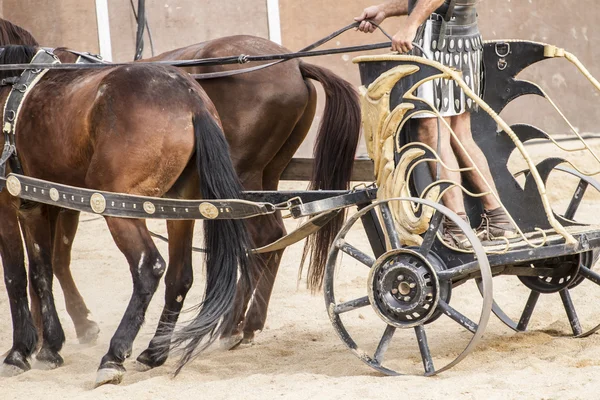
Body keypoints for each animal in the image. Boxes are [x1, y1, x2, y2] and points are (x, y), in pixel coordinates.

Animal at [0, 45, 255, 386]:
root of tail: (191, 98)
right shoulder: (38, 204)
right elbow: (41, 272)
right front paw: (49, 347)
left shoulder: (7, 202)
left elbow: (16, 275)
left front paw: (19, 352)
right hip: (179, 206)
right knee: (179, 275)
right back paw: (154, 352)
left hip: (118, 206)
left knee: (149, 266)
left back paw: (114, 355)